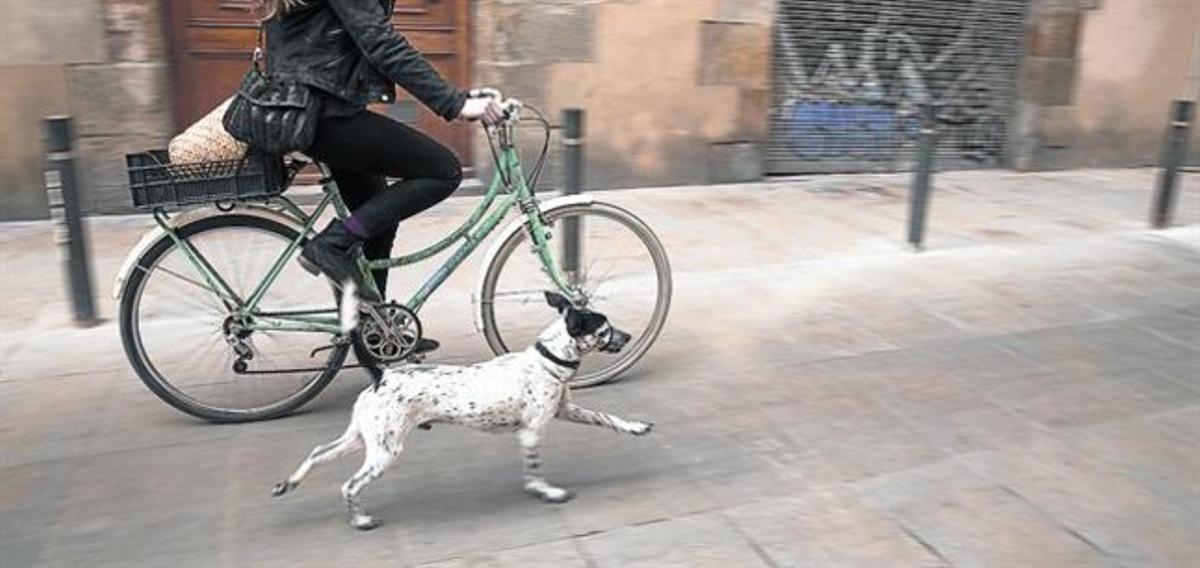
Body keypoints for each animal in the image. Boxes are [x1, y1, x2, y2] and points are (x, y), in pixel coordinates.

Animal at [271, 290, 652, 528]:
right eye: (604, 329)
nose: (629, 337)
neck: (547, 361)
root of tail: (382, 374)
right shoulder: (532, 432)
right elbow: (535, 472)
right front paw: (546, 492)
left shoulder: (567, 411)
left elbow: (608, 418)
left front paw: (635, 427)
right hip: (384, 451)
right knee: (349, 485)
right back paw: (360, 520)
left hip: (362, 439)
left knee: (318, 452)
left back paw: (288, 484)